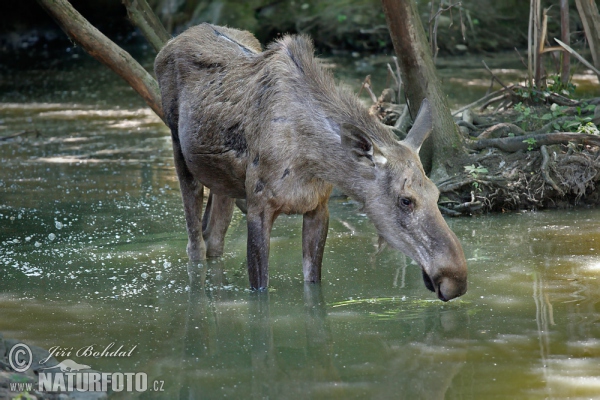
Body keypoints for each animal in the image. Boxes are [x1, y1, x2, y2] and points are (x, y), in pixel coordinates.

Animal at [156, 23, 468, 302]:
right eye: (405, 200)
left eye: (436, 193)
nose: (456, 279)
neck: (310, 161)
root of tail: (171, 42)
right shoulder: (258, 207)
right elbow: (260, 288)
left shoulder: (319, 207)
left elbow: (314, 284)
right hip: (179, 149)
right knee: (195, 244)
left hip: (224, 183)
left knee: (214, 238)